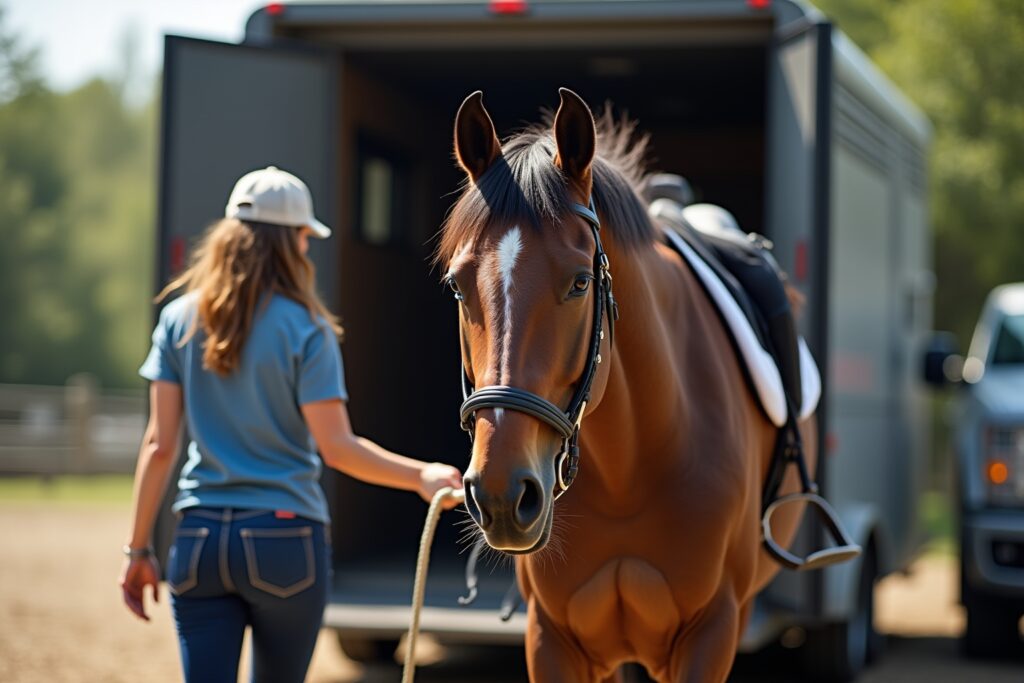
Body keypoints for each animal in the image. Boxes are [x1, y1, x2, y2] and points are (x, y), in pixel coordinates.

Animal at [438, 88, 815, 683]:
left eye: (580, 282)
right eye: (457, 286)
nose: (500, 492)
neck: (629, 470)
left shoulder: (711, 631)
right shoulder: (553, 639)